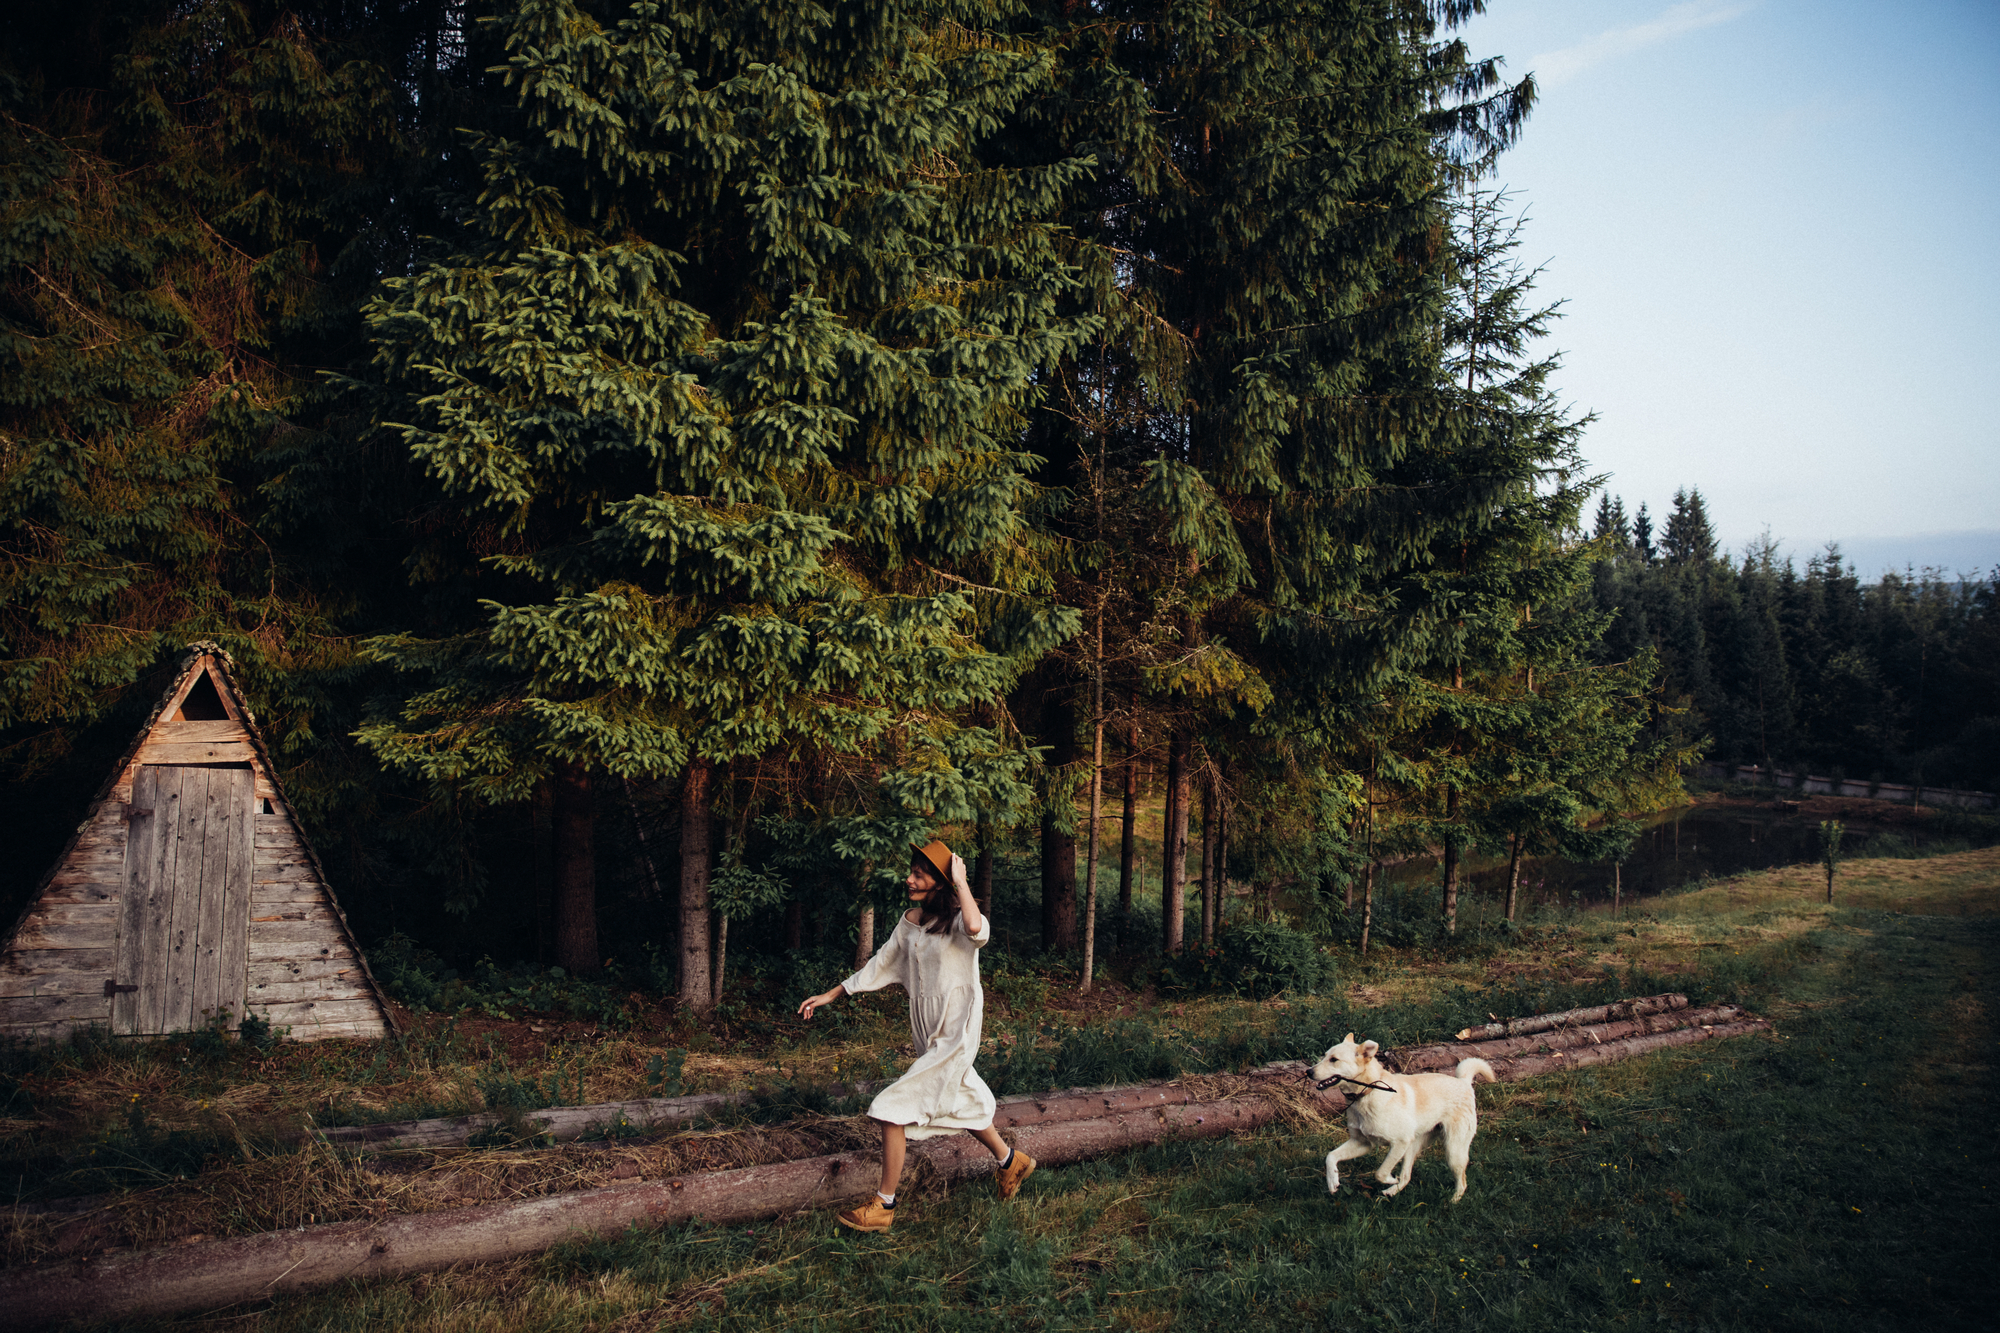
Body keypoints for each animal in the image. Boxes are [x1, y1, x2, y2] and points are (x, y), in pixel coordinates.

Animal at [1320, 1024, 1496, 1200]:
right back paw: (1392, 1191)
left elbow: (1380, 1173)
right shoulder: (1362, 1143)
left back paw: (1453, 1200)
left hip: (1453, 1152)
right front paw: (1332, 1181)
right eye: (1324, 1056)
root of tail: (1464, 1082)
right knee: (1406, 1176)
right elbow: (1330, 1156)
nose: (1312, 1071)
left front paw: (1390, 1179)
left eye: (1334, 1059)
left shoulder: (1400, 1142)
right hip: (1413, 1147)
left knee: (1462, 1182)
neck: (1368, 1093)